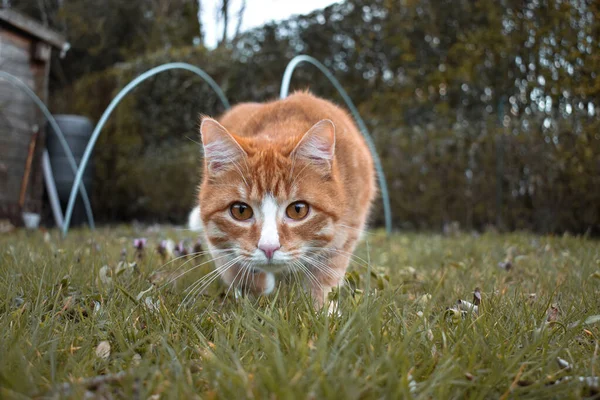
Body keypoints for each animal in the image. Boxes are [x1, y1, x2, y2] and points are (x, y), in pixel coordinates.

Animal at [197, 92, 376, 304]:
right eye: (240, 211)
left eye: (298, 210)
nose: (269, 248)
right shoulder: (216, 241)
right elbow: (233, 265)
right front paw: (256, 288)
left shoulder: (347, 233)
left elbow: (325, 277)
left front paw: (321, 307)